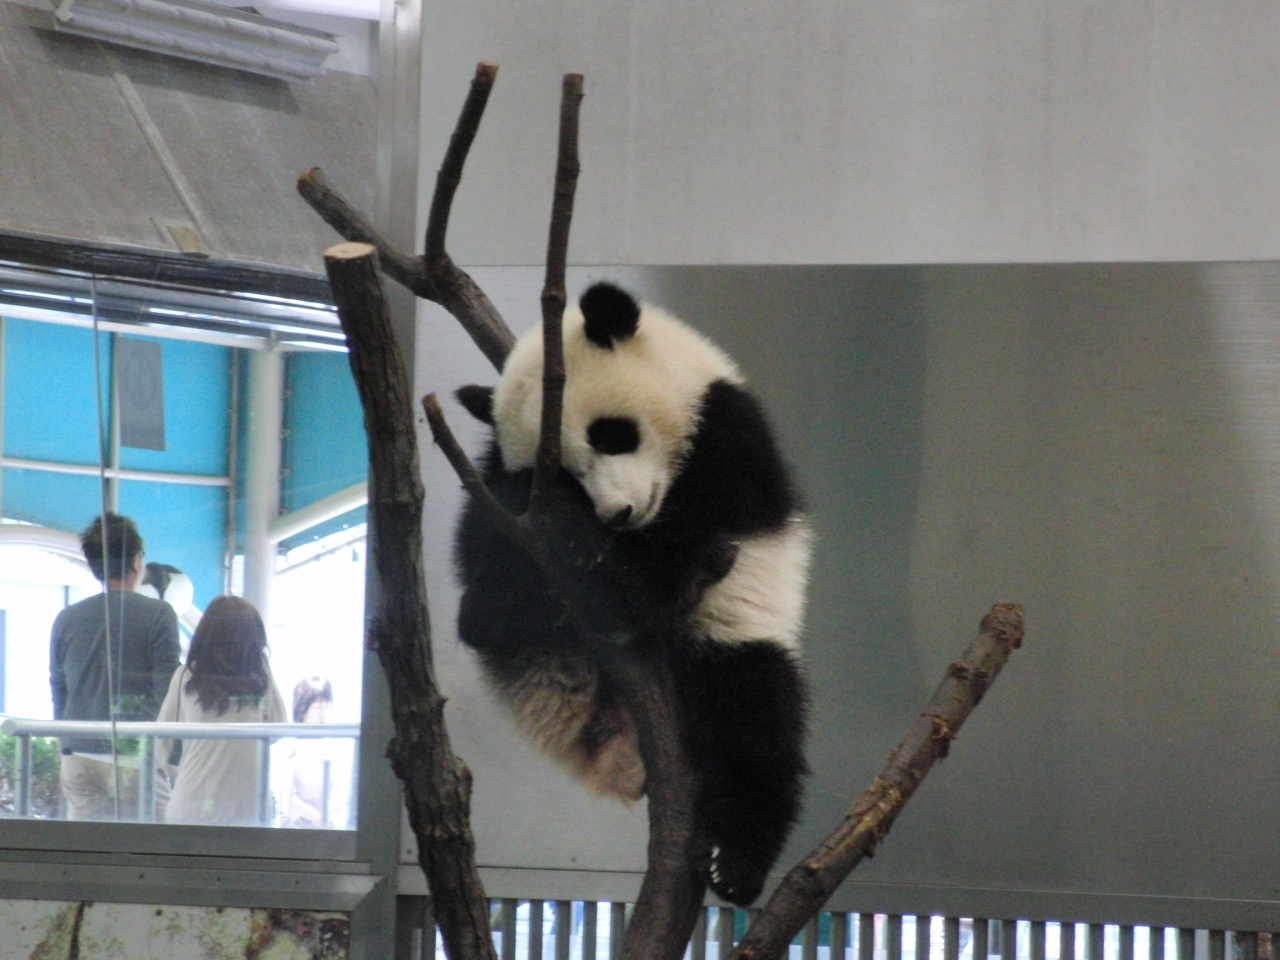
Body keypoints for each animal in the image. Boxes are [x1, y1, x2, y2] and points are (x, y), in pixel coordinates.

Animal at [450, 280, 808, 911]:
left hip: (734, 641)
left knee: (757, 714)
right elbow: (486, 524)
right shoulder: (499, 487)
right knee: (487, 619)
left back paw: (735, 861)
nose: (617, 513)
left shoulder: (730, 444)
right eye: (564, 473)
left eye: (610, 434)